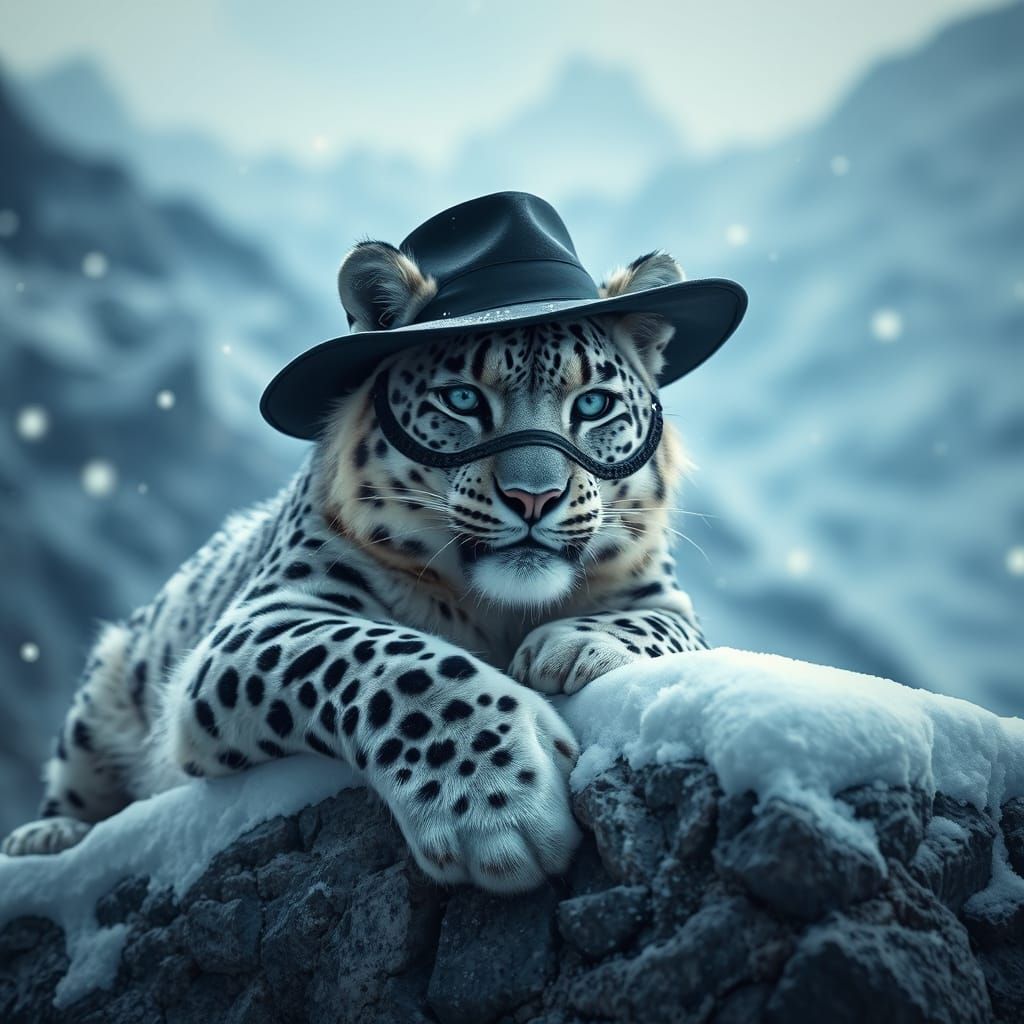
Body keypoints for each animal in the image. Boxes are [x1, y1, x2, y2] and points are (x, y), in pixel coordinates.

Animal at [1, 243, 707, 893]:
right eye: (461, 399)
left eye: (592, 406)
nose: (533, 497)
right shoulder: (265, 617)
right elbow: (396, 663)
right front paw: (500, 806)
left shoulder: (667, 599)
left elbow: (656, 625)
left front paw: (576, 647)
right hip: (106, 681)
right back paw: (44, 838)